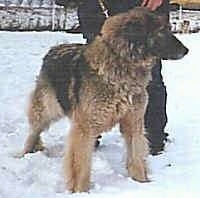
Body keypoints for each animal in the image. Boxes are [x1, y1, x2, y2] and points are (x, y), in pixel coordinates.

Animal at [21, 7, 188, 192]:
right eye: (162, 31)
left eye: (168, 28)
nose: (186, 50)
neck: (122, 62)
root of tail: (55, 48)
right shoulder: (85, 127)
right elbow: (81, 165)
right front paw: (81, 191)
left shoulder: (134, 122)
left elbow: (136, 155)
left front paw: (141, 183)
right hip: (47, 109)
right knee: (34, 131)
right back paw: (25, 153)